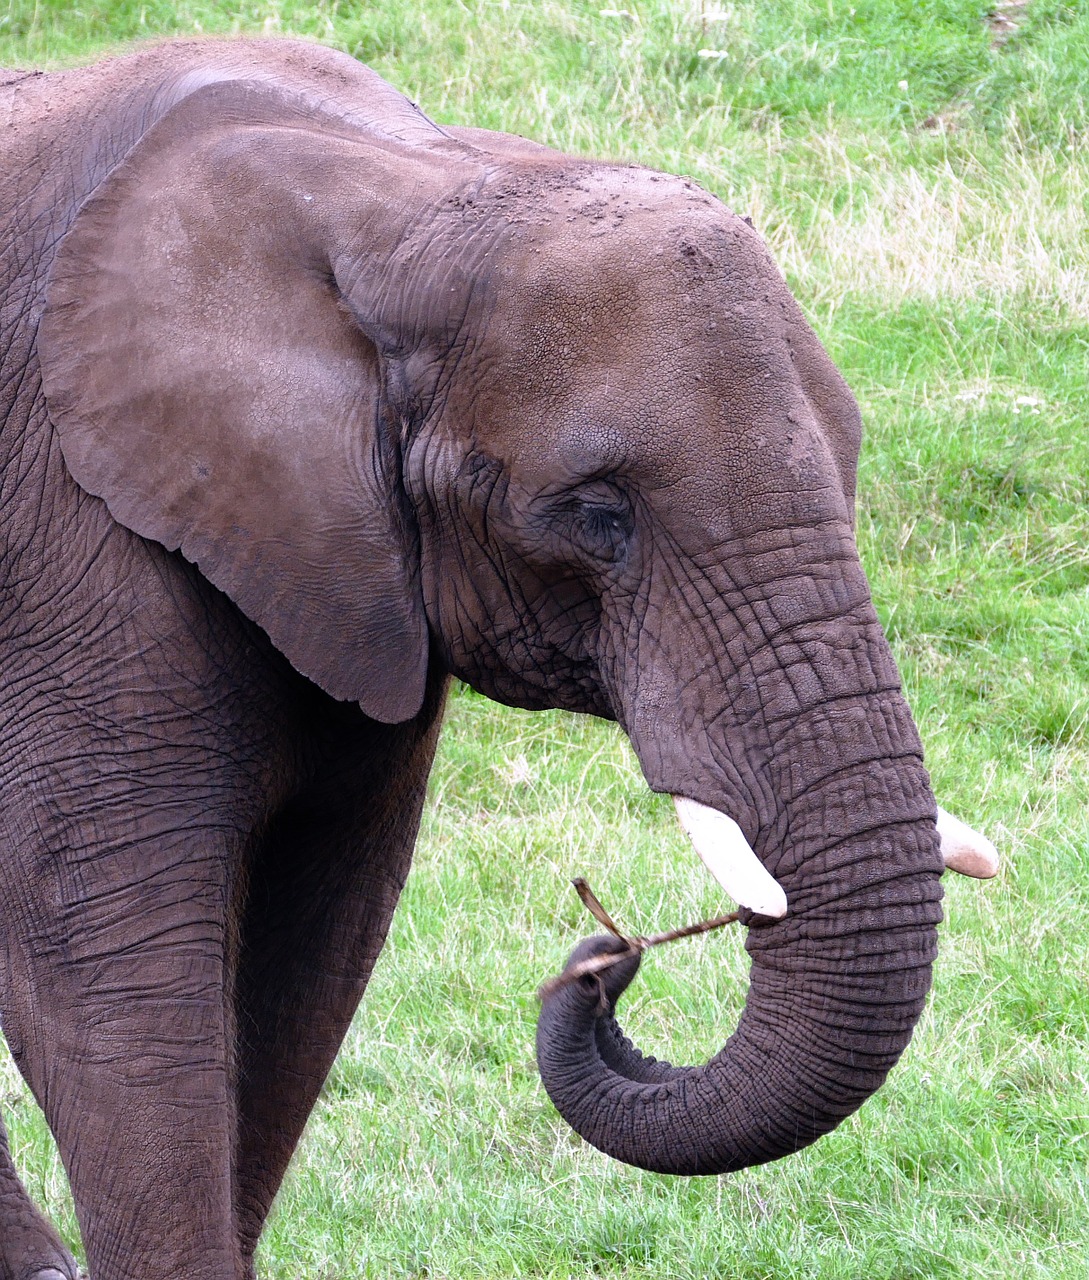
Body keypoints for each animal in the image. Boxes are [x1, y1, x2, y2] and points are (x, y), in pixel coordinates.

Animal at [0, 35, 1003, 1274]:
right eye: (598, 515)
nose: (600, 959)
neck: (401, 188)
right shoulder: (68, 545)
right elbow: (110, 972)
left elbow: (309, 955)